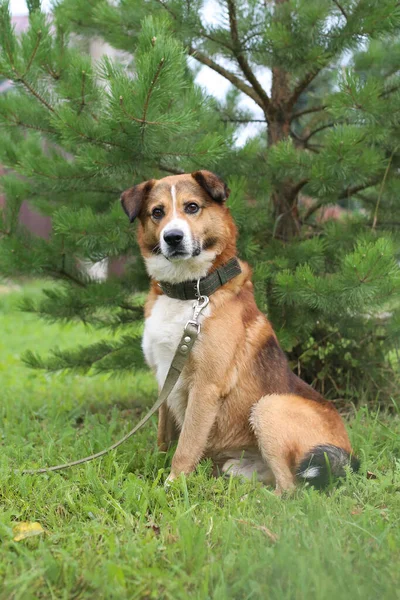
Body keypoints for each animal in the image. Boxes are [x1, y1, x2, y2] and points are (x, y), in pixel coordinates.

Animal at [119, 169, 360, 492]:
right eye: (157, 212)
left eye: (192, 207)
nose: (172, 237)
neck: (191, 292)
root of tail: (346, 455)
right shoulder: (164, 378)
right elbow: (163, 437)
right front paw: (154, 471)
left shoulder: (205, 387)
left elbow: (186, 446)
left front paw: (172, 485)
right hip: (239, 464)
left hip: (268, 407)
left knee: (291, 489)